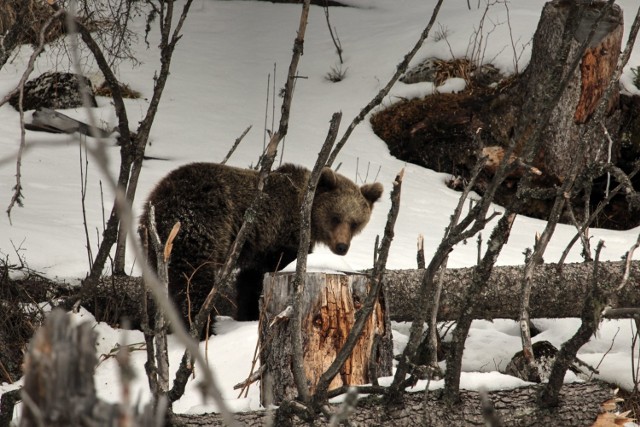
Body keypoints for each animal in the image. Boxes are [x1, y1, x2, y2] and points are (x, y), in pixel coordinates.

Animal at [141, 162, 380, 330]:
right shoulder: (281, 235)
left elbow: (250, 281)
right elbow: (276, 267)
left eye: (355, 222)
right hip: (200, 227)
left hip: (155, 244)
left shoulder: (259, 247)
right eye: (336, 217)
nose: (342, 246)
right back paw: (201, 327)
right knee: (194, 282)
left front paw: (248, 315)